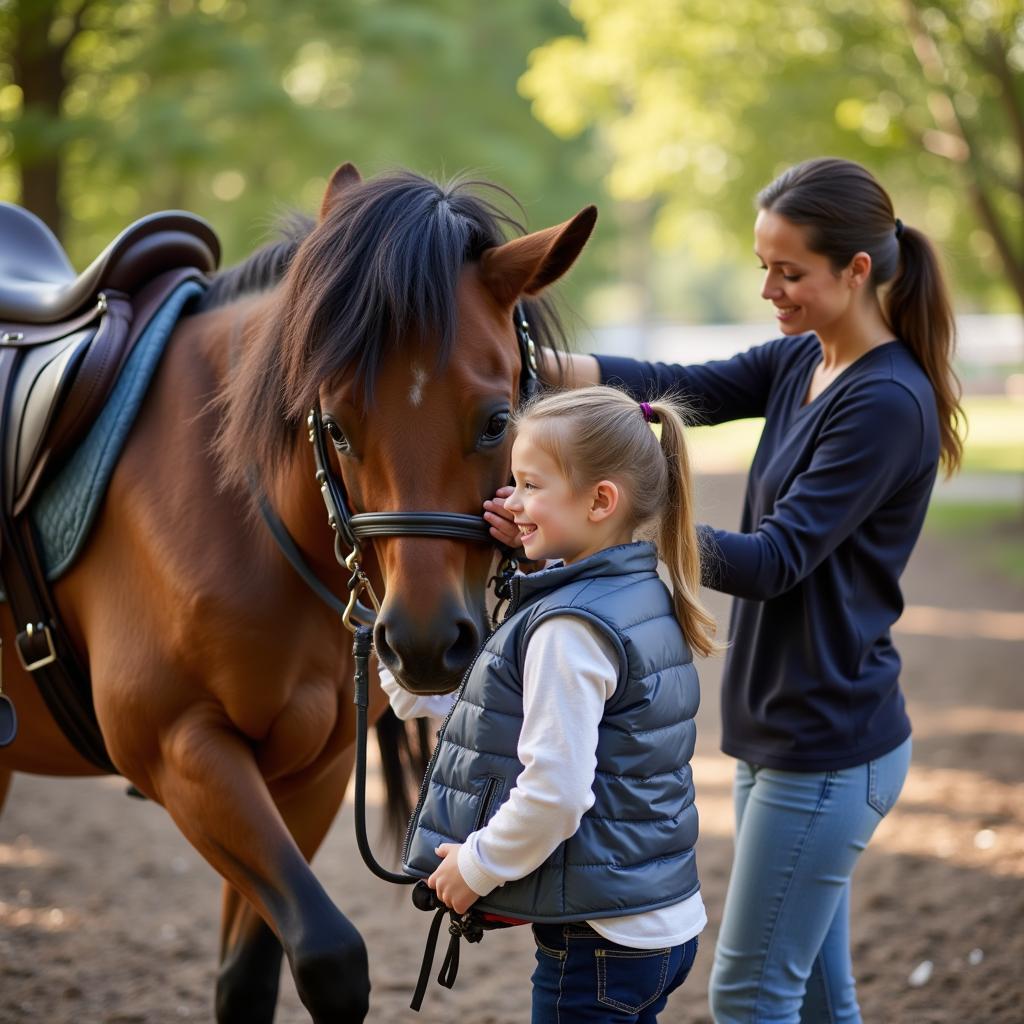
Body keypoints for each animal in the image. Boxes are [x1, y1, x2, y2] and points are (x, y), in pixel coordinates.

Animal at [0, 163, 593, 1019]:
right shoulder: (179, 748)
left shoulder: (310, 772)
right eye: (335, 425)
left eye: (496, 420)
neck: (244, 519)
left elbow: (249, 975)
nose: (422, 644)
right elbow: (329, 957)